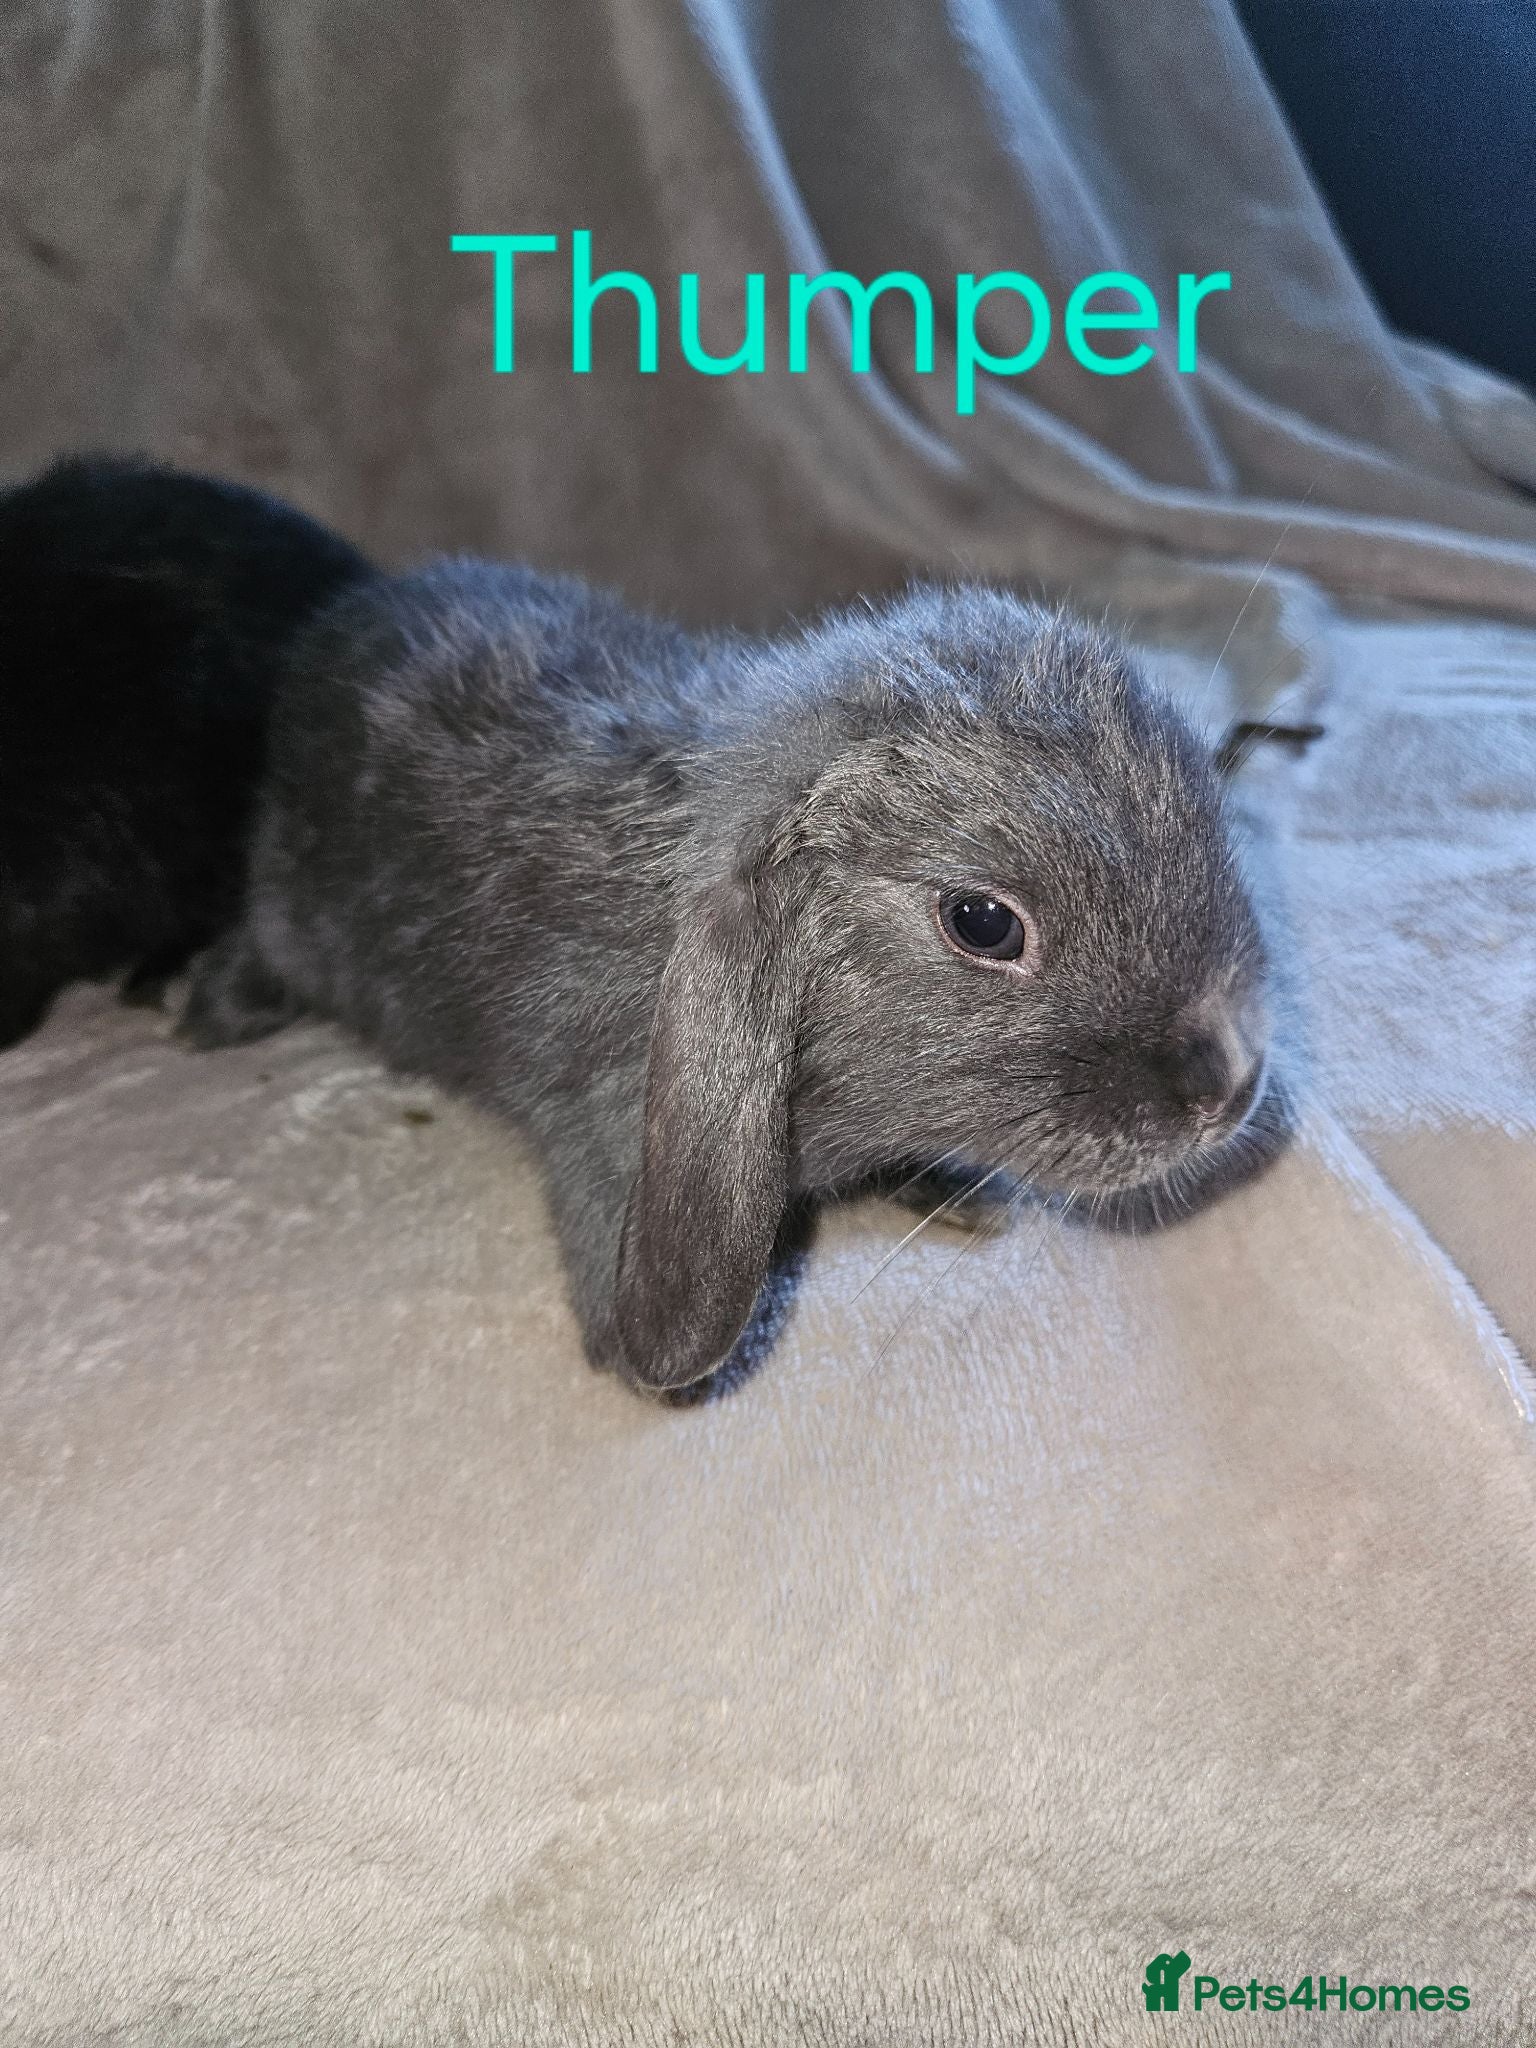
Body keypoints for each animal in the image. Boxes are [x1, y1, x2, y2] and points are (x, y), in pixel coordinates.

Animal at [182, 560, 1276, 1394]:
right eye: (983, 922)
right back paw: (210, 1011)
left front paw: (953, 1190)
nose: (1227, 1086)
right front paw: (643, 1362)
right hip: (294, 901)